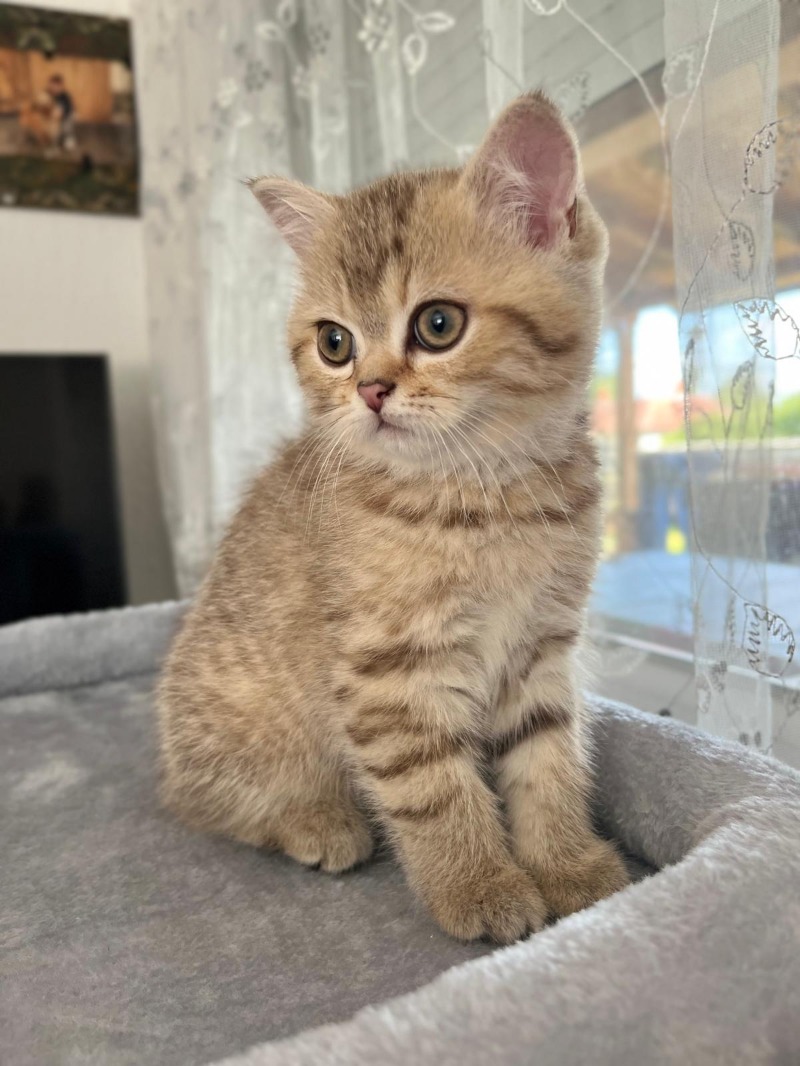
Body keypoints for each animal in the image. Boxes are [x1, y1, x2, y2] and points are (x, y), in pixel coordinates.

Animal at [158, 91, 630, 943]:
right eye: (334, 343)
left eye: (438, 324)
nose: (371, 389)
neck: (488, 495)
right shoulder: (389, 671)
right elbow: (435, 788)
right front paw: (479, 883)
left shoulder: (542, 648)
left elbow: (548, 757)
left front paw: (566, 863)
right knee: (205, 802)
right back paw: (315, 820)